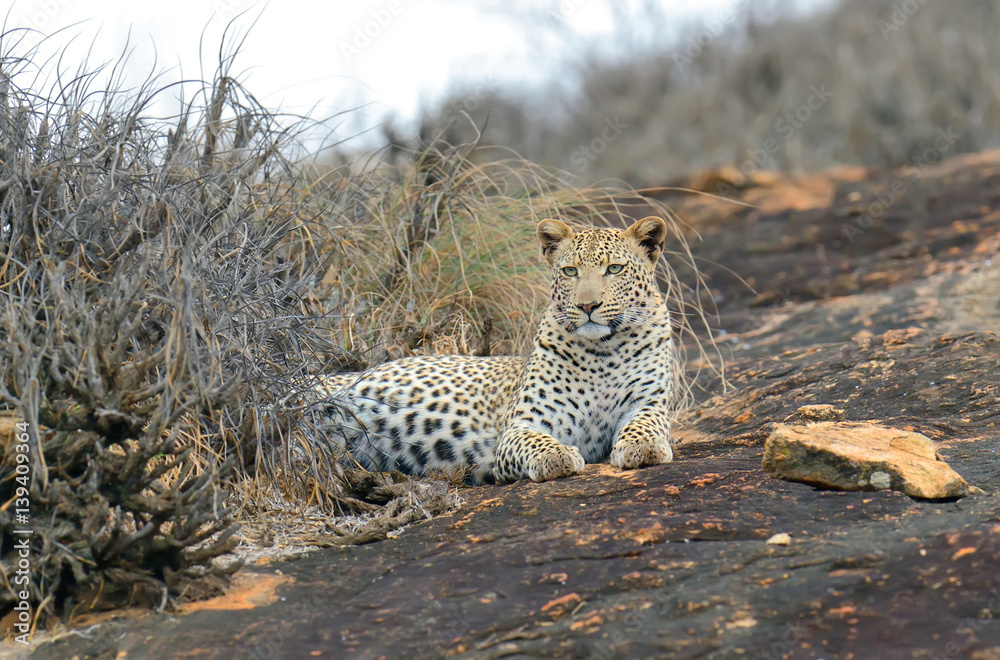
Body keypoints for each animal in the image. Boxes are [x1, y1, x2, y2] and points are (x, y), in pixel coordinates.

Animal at [310, 216, 679, 484]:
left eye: (614, 269)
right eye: (570, 271)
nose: (587, 305)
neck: (603, 350)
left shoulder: (649, 402)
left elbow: (644, 423)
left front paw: (643, 447)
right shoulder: (523, 424)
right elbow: (536, 441)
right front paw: (556, 456)